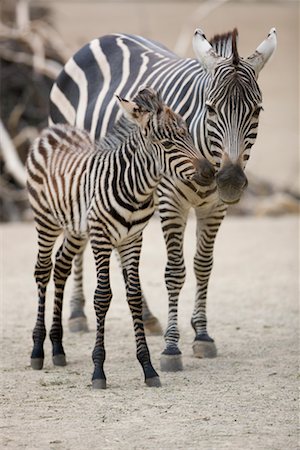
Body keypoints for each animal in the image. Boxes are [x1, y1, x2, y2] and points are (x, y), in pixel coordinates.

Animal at [27, 87, 212, 386]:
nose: (210, 173)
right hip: (46, 221)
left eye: (187, 135)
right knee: (43, 270)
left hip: (75, 228)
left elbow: (134, 296)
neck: (135, 187)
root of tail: (56, 128)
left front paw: (148, 368)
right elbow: (102, 298)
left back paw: (57, 347)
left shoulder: (132, 240)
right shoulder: (101, 238)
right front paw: (98, 371)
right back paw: (37, 351)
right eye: (167, 143)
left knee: (61, 267)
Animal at [49, 27, 276, 370]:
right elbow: (175, 272)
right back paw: (76, 313)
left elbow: (203, 266)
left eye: (257, 111)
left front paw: (202, 335)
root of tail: (106, 36)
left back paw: (145, 315)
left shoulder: (214, 208)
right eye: (210, 108)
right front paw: (171, 347)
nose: (231, 181)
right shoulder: (171, 203)